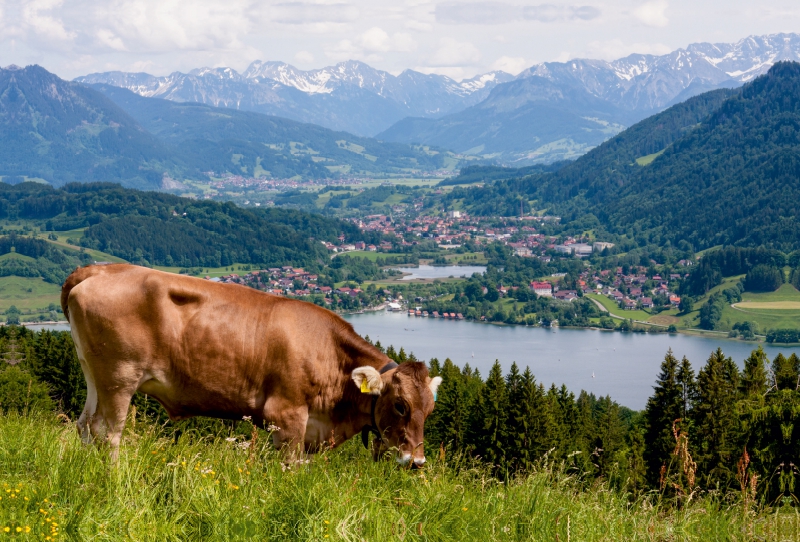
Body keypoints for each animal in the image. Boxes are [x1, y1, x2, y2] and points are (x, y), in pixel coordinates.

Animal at [59, 264, 440, 468]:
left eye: (430, 409)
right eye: (400, 405)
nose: (417, 462)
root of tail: (99, 269)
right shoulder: (285, 415)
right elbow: (289, 469)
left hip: (92, 372)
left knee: (85, 424)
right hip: (119, 376)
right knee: (108, 432)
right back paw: (112, 477)